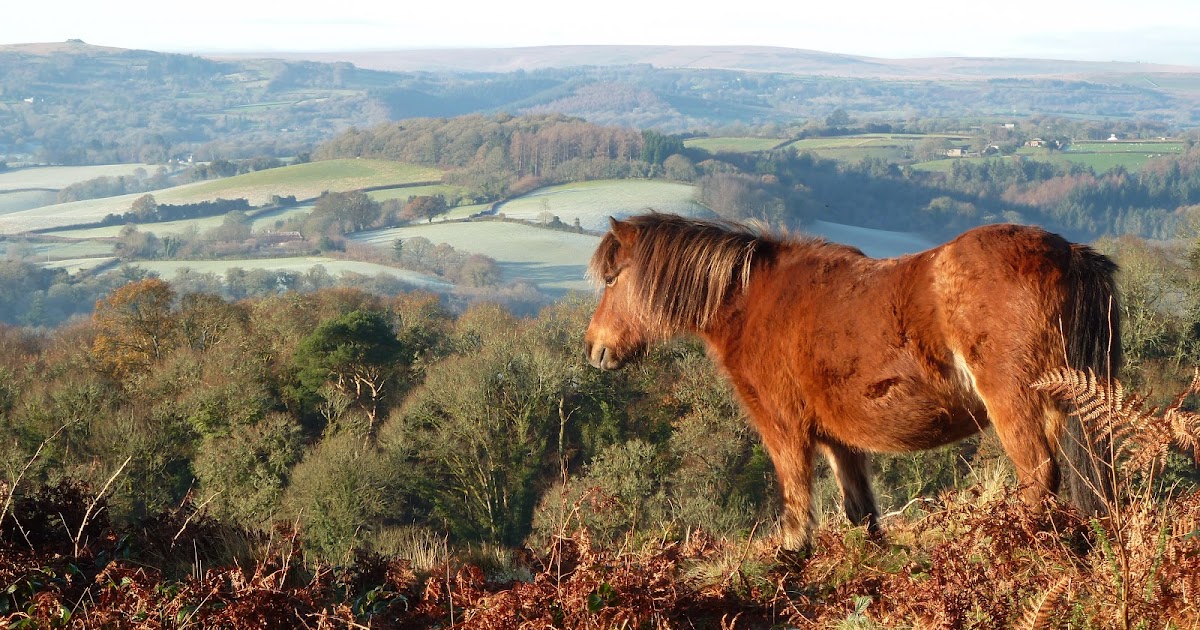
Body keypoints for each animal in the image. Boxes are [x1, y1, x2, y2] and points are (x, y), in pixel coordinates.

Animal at [584, 213, 1121, 550]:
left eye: (611, 279)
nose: (594, 348)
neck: (753, 303)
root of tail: (1070, 253)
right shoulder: (841, 441)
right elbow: (861, 513)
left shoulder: (784, 433)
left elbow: (797, 514)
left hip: (1018, 407)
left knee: (1038, 480)